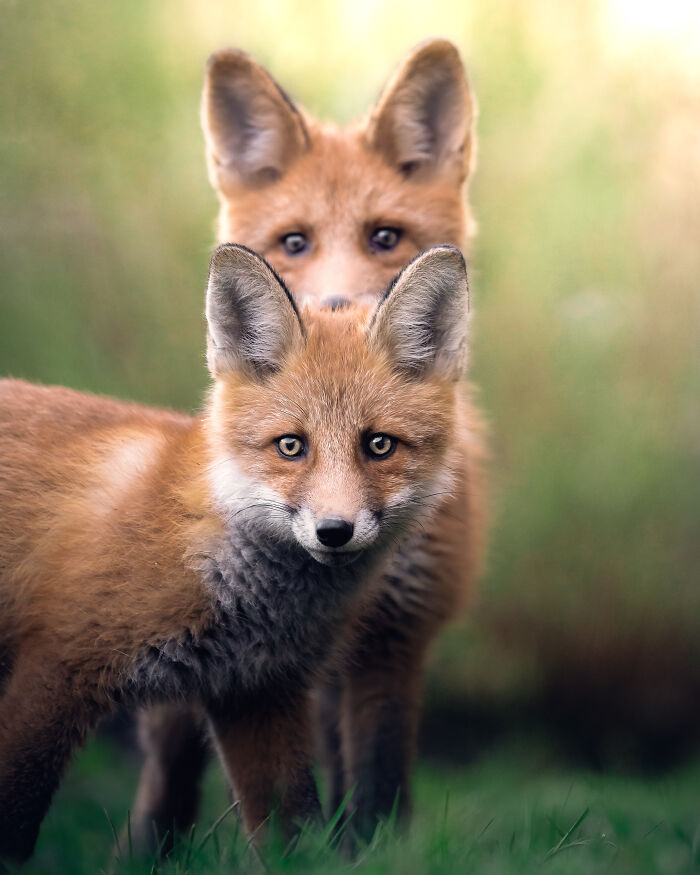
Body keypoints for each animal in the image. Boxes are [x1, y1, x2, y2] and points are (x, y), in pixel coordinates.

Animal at [0, 243, 474, 864]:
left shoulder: (256, 694)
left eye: (379, 445)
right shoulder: (55, 669)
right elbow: (13, 816)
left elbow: (293, 833)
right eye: (291, 446)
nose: (335, 531)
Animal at [131, 39, 487, 848]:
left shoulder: (394, 636)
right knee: (163, 779)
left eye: (385, 238)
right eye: (293, 243)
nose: (333, 318)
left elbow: (378, 787)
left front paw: (375, 851)